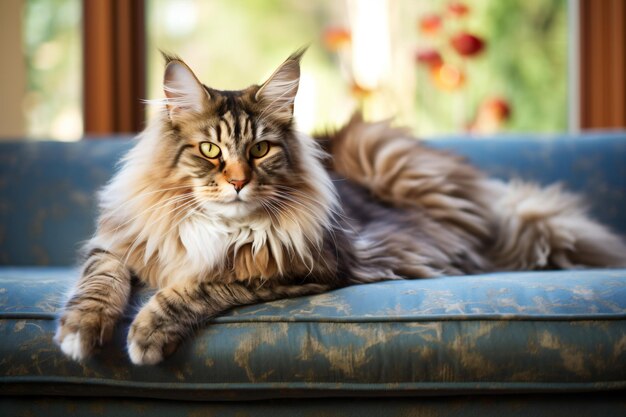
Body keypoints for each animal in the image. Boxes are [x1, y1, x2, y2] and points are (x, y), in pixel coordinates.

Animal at [56, 48, 624, 364]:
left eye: (259, 150)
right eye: (211, 151)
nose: (238, 182)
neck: (218, 226)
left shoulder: (301, 267)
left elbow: (203, 285)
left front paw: (147, 332)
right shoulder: (117, 244)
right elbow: (99, 282)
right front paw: (80, 332)